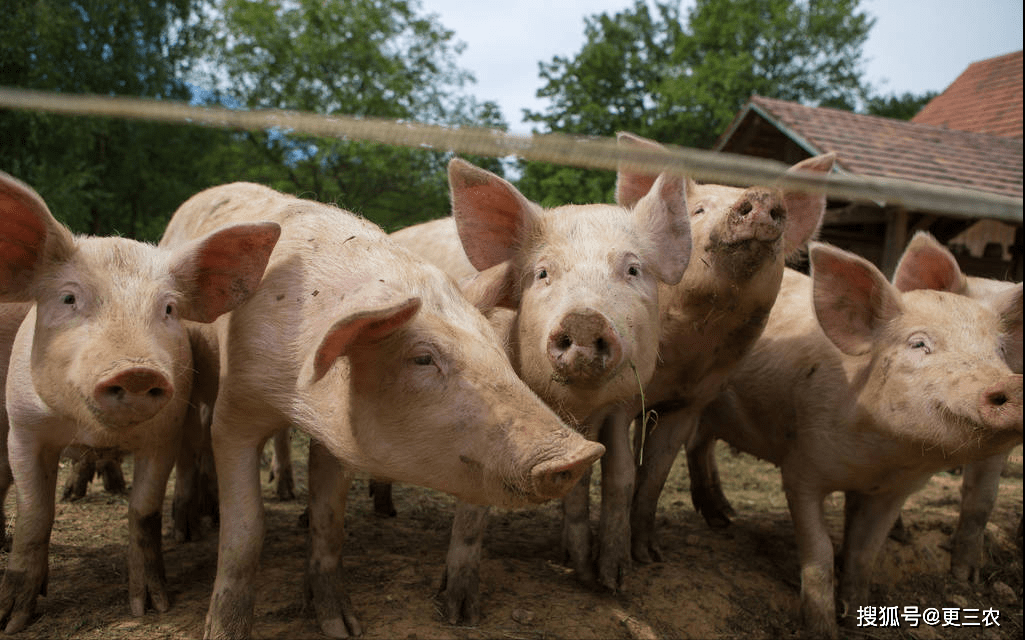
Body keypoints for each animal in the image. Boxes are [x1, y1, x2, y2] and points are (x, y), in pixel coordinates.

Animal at [0, 171, 280, 635]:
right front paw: (13, 620)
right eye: (69, 299)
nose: (136, 371)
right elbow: (34, 513)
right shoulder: (23, 428)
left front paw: (151, 606)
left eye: (168, 308)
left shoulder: (163, 434)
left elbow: (144, 511)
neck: (95, 433)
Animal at [156, 180, 602, 640]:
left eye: (497, 349)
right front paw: (221, 630)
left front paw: (343, 627)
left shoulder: (334, 433)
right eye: (422, 358)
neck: (297, 393)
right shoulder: (236, 409)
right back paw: (193, 525)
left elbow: (330, 521)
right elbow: (245, 530)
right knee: (192, 439)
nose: (580, 453)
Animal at [387, 150, 692, 619]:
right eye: (544, 272)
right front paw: (459, 611)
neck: (573, 410)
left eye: (633, 269)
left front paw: (604, 579)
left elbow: (612, 479)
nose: (584, 318)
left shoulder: (616, 409)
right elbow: (474, 502)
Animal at [602, 132, 836, 562]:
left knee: (700, 446)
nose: (759, 194)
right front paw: (617, 566)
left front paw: (651, 556)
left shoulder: (691, 401)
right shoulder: (619, 399)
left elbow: (655, 475)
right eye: (697, 210)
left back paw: (723, 518)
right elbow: (622, 472)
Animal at [692, 242, 1020, 635]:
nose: (1014, 385)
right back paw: (718, 522)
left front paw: (860, 621)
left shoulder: (893, 492)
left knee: (700, 445)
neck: (882, 459)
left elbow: (864, 554)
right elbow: (819, 551)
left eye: (1000, 351)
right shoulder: (801, 468)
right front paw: (822, 630)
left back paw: (724, 514)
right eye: (919, 343)